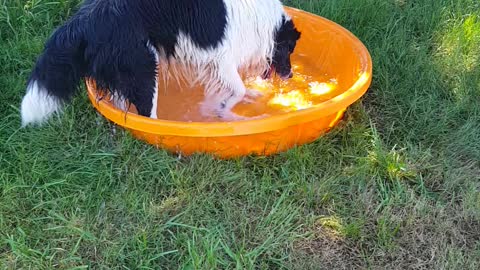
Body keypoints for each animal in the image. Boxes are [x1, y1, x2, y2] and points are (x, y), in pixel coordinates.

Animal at [22, 0, 302, 126]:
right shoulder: (222, 57)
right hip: (144, 65)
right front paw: (227, 111)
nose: (289, 75)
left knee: (121, 104)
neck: (264, 22)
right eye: (289, 49)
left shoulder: (213, 64)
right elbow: (238, 89)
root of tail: (85, 20)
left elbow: (235, 89)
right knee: (147, 114)